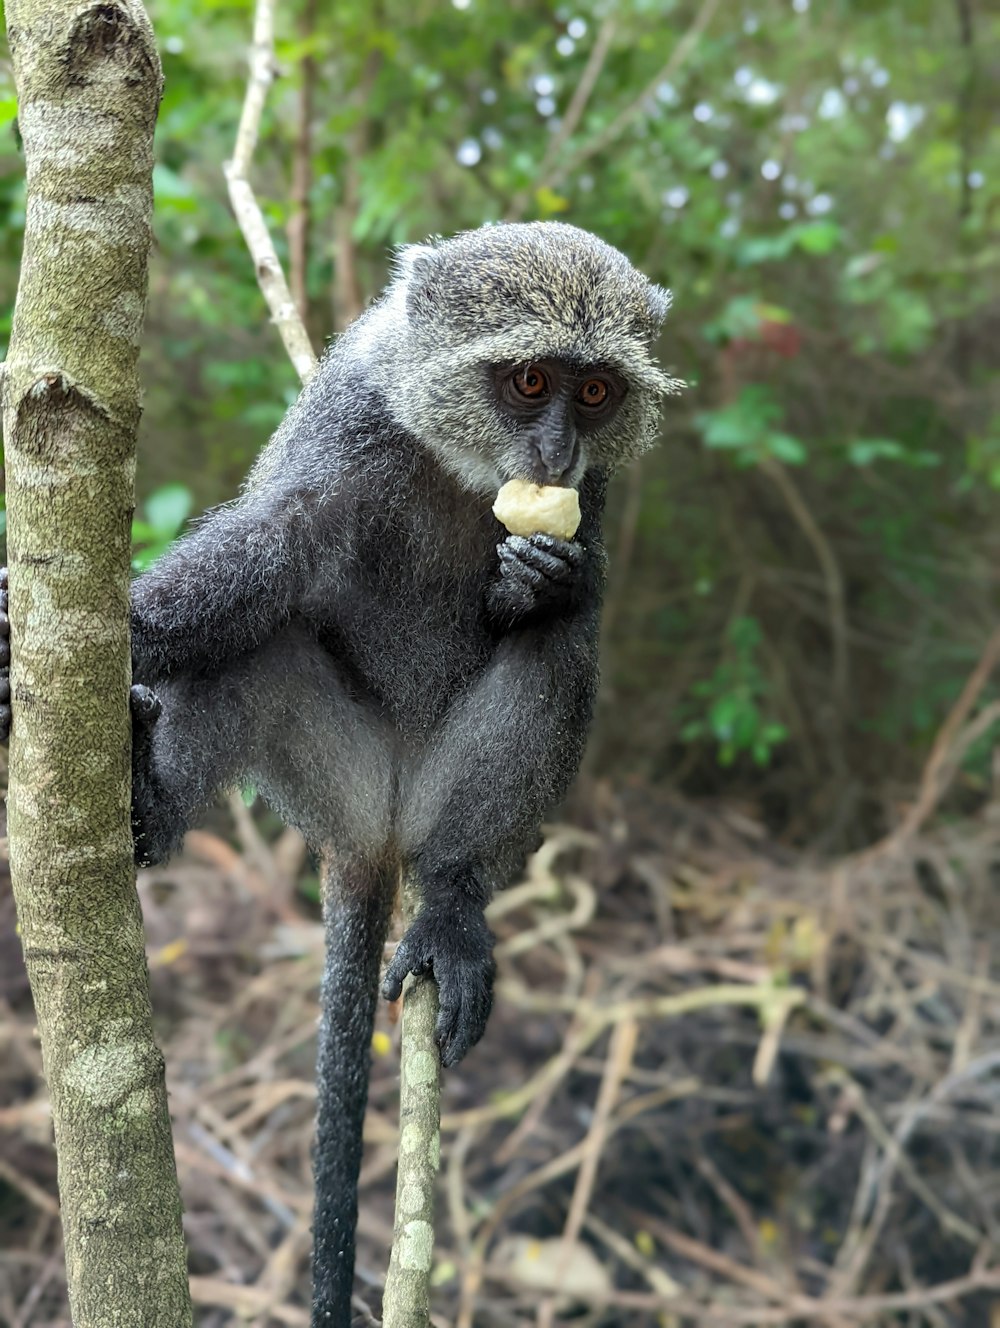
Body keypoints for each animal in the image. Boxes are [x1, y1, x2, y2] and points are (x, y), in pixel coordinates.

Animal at [0, 223, 679, 1322]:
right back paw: (145, 800)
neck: (456, 458)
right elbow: (276, 553)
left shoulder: (596, 493)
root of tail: (372, 832)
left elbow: (566, 597)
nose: (557, 456)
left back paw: (452, 902)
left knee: (560, 657)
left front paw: (547, 580)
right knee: (260, 645)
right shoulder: (351, 424)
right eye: (531, 379)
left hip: (433, 791)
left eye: (594, 393)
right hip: (323, 763)